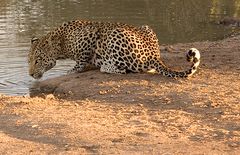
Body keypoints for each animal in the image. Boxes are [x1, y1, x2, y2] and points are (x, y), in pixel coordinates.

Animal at [28, 20, 201, 79]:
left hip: (115, 34)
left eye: (38, 61)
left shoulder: (90, 37)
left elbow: (81, 61)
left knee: (124, 69)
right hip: (146, 26)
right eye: (29, 61)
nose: (29, 74)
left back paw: (105, 66)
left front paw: (72, 70)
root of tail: (154, 55)